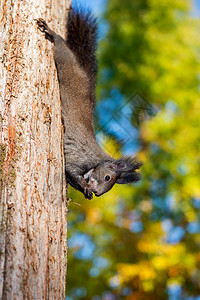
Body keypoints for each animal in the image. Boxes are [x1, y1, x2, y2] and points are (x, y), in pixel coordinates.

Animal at [36, 5, 142, 200]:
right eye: (107, 177)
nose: (98, 193)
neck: (95, 163)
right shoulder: (78, 157)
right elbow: (71, 169)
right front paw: (85, 187)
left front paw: (86, 191)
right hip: (66, 63)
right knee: (62, 48)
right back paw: (52, 33)